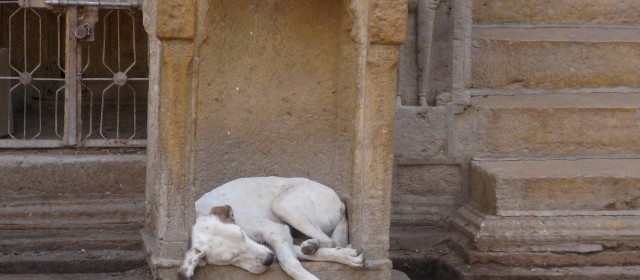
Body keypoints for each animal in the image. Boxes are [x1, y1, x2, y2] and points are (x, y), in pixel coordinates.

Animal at [178, 176, 362, 278]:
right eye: (230, 258)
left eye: (243, 235)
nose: (268, 260)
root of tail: (341, 203)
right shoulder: (276, 242)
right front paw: (346, 256)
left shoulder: (276, 231)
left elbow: (290, 265)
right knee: (327, 244)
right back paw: (313, 246)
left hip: (283, 206)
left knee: (329, 241)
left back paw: (312, 245)